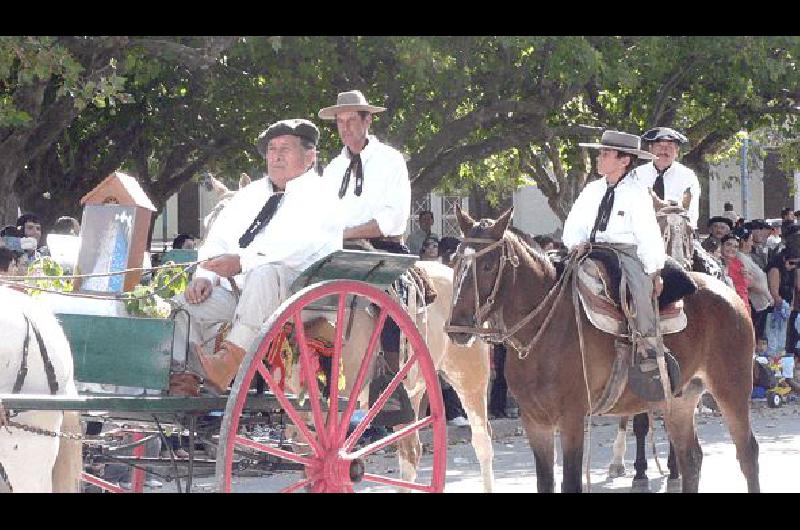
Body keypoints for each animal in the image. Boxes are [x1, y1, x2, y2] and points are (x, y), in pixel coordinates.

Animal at [446, 206, 760, 490]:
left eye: (488, 266)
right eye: (455, 261)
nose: (457, 327)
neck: (543, 331)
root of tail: (729, 293)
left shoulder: (572, 418)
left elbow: (571, 482)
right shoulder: (535, 422)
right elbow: (545, 482)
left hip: (732, 388)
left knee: (747, 453)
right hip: (680, 399)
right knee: (690, 458)